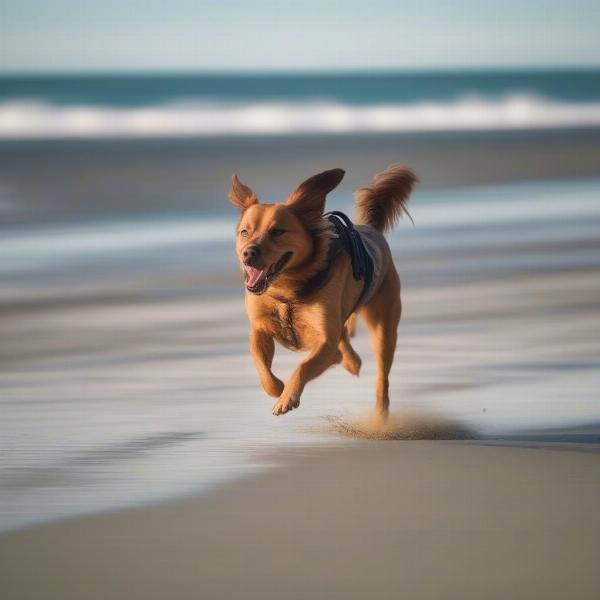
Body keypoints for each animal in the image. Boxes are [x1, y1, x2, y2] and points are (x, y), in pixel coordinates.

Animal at [230, 164, 418, 418]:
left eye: (277, 231)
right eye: (245, 232)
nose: (247, 254)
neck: (286, 291)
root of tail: (372, 230)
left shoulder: (325, 341)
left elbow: (304, 365)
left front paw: (287, 397)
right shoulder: (259, 329)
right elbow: (260, 364)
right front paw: (278, 388)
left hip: (384, 329)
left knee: (382, 376)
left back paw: (379, 413)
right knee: (345, 341)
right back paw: (351, 361)